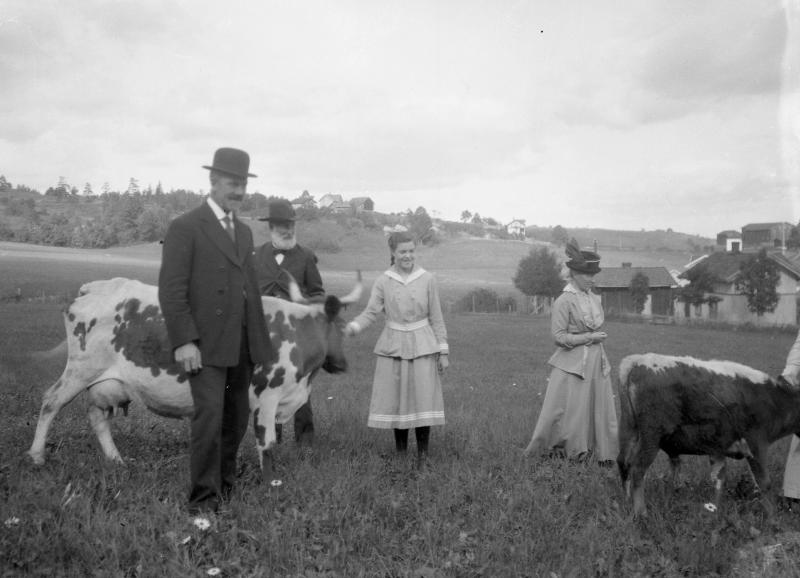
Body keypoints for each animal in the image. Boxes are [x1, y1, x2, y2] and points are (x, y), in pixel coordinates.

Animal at [27, 275, 361, 480]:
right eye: (341, 326)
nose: (343, 364)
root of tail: (98, 286)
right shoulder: (267, 394)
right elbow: (267, 444)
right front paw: (271, 483)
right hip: (80, 370)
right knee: (51, 402)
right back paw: (37, 456)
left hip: (105, 382)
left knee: (97, 417)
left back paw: (116, 460)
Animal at [616, 353, 800, 517]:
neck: (774, 400)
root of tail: (638, 360)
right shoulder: (756, 444)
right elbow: (765, 483)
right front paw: (773, 518)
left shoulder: (718, 449)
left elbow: (719, 480)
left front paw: (715, 511)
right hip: (651, 436)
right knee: (638, 470)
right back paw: (641, 513)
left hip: (629, 431)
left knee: (624, 463)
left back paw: (626, 502)